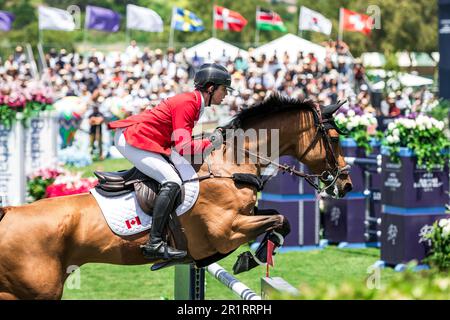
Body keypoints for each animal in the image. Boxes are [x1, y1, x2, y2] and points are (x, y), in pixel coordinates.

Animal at [0, 94, 352, 298]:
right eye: (334, 137)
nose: (346, 184)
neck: (231, 163)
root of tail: (9, 213)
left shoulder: (244, 217)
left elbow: (282, 222)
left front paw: (251, 257)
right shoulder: (225, 231)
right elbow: (279, 219)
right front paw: (249, 258)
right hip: (39, 291)